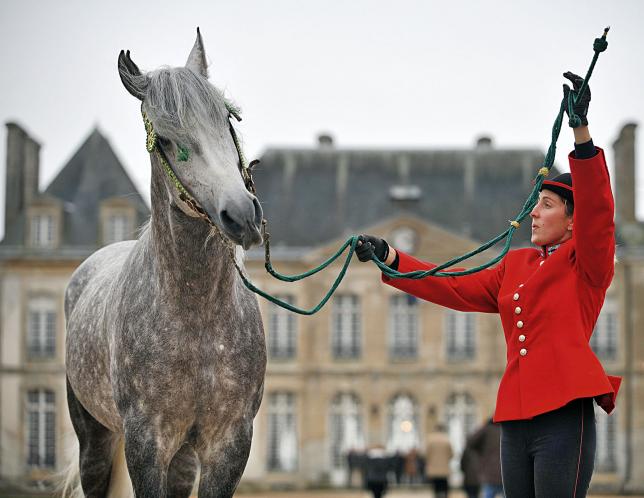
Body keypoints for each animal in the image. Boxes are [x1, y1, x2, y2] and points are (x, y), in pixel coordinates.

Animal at [63, 29, 266, 496]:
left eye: (228, 120)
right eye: (166, 141)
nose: (242, 216)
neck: (197, 314)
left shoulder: (229, 443)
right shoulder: (145, 442)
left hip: (183, 457)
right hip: (94, 439)